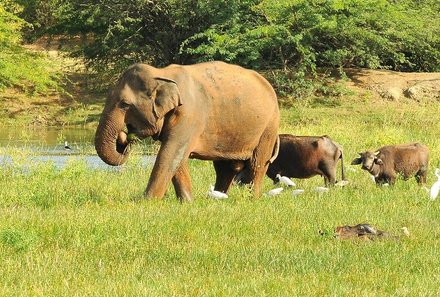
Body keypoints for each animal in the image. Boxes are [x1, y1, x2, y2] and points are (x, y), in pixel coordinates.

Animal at [94, 61, 280, 201]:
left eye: (124, 104)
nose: (124, 136)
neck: (161, 73)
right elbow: (178, 157)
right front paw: (187, 202)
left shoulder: (189, 115)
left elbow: (170, 153)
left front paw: (147, 201)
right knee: (225, 168)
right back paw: (218, 198)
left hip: (269, 126)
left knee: (257, 163)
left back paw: (251, 199)